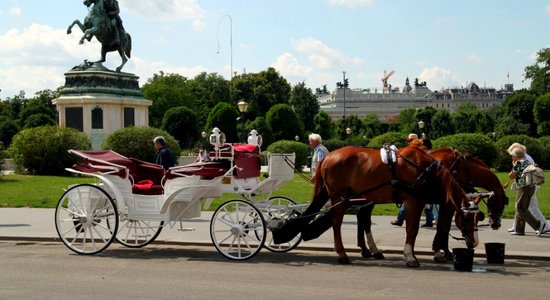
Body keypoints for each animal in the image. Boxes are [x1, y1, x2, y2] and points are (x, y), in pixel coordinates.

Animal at [274, 146, 480, 266]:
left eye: (478, 217)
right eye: (465, 217)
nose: (475, 243)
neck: (425, 170)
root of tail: (329, 156)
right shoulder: (414, 201)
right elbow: (412, 230)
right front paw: (410, 256)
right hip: (339, 197)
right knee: (336, 222)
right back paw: (342, 254)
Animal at [358, 148, 508, 262]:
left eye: (479, 217)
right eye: (502, 201)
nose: (496, 224)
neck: (462, 168)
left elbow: (444, 225)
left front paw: (442, 250)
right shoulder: (447, 203)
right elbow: (443, 225)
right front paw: (441, 251)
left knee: (363, 217)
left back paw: (367, 249)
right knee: (364, 218)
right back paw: (370, 249)